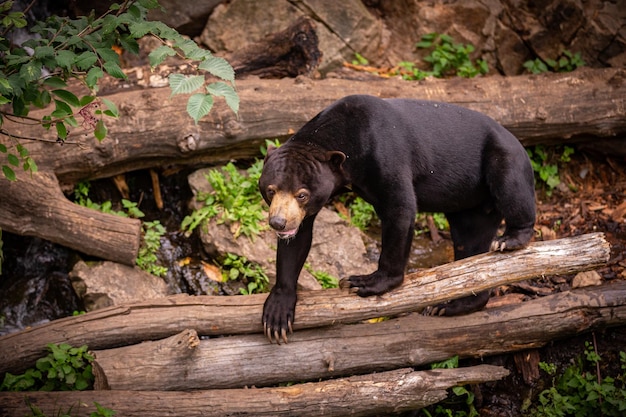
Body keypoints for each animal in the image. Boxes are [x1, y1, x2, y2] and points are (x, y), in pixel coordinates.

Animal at [256, 94, 532, 342]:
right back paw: (448, 306)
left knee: (511, 189)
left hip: (502, 158)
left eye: (302, 194)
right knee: (470, 242)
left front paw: (362, 282)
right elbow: (298, 240)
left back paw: (510, 240)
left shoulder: (385, 155)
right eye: (270, 190)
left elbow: (399, 208)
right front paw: (277, 315)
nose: (278, 223)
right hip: (469, 203)